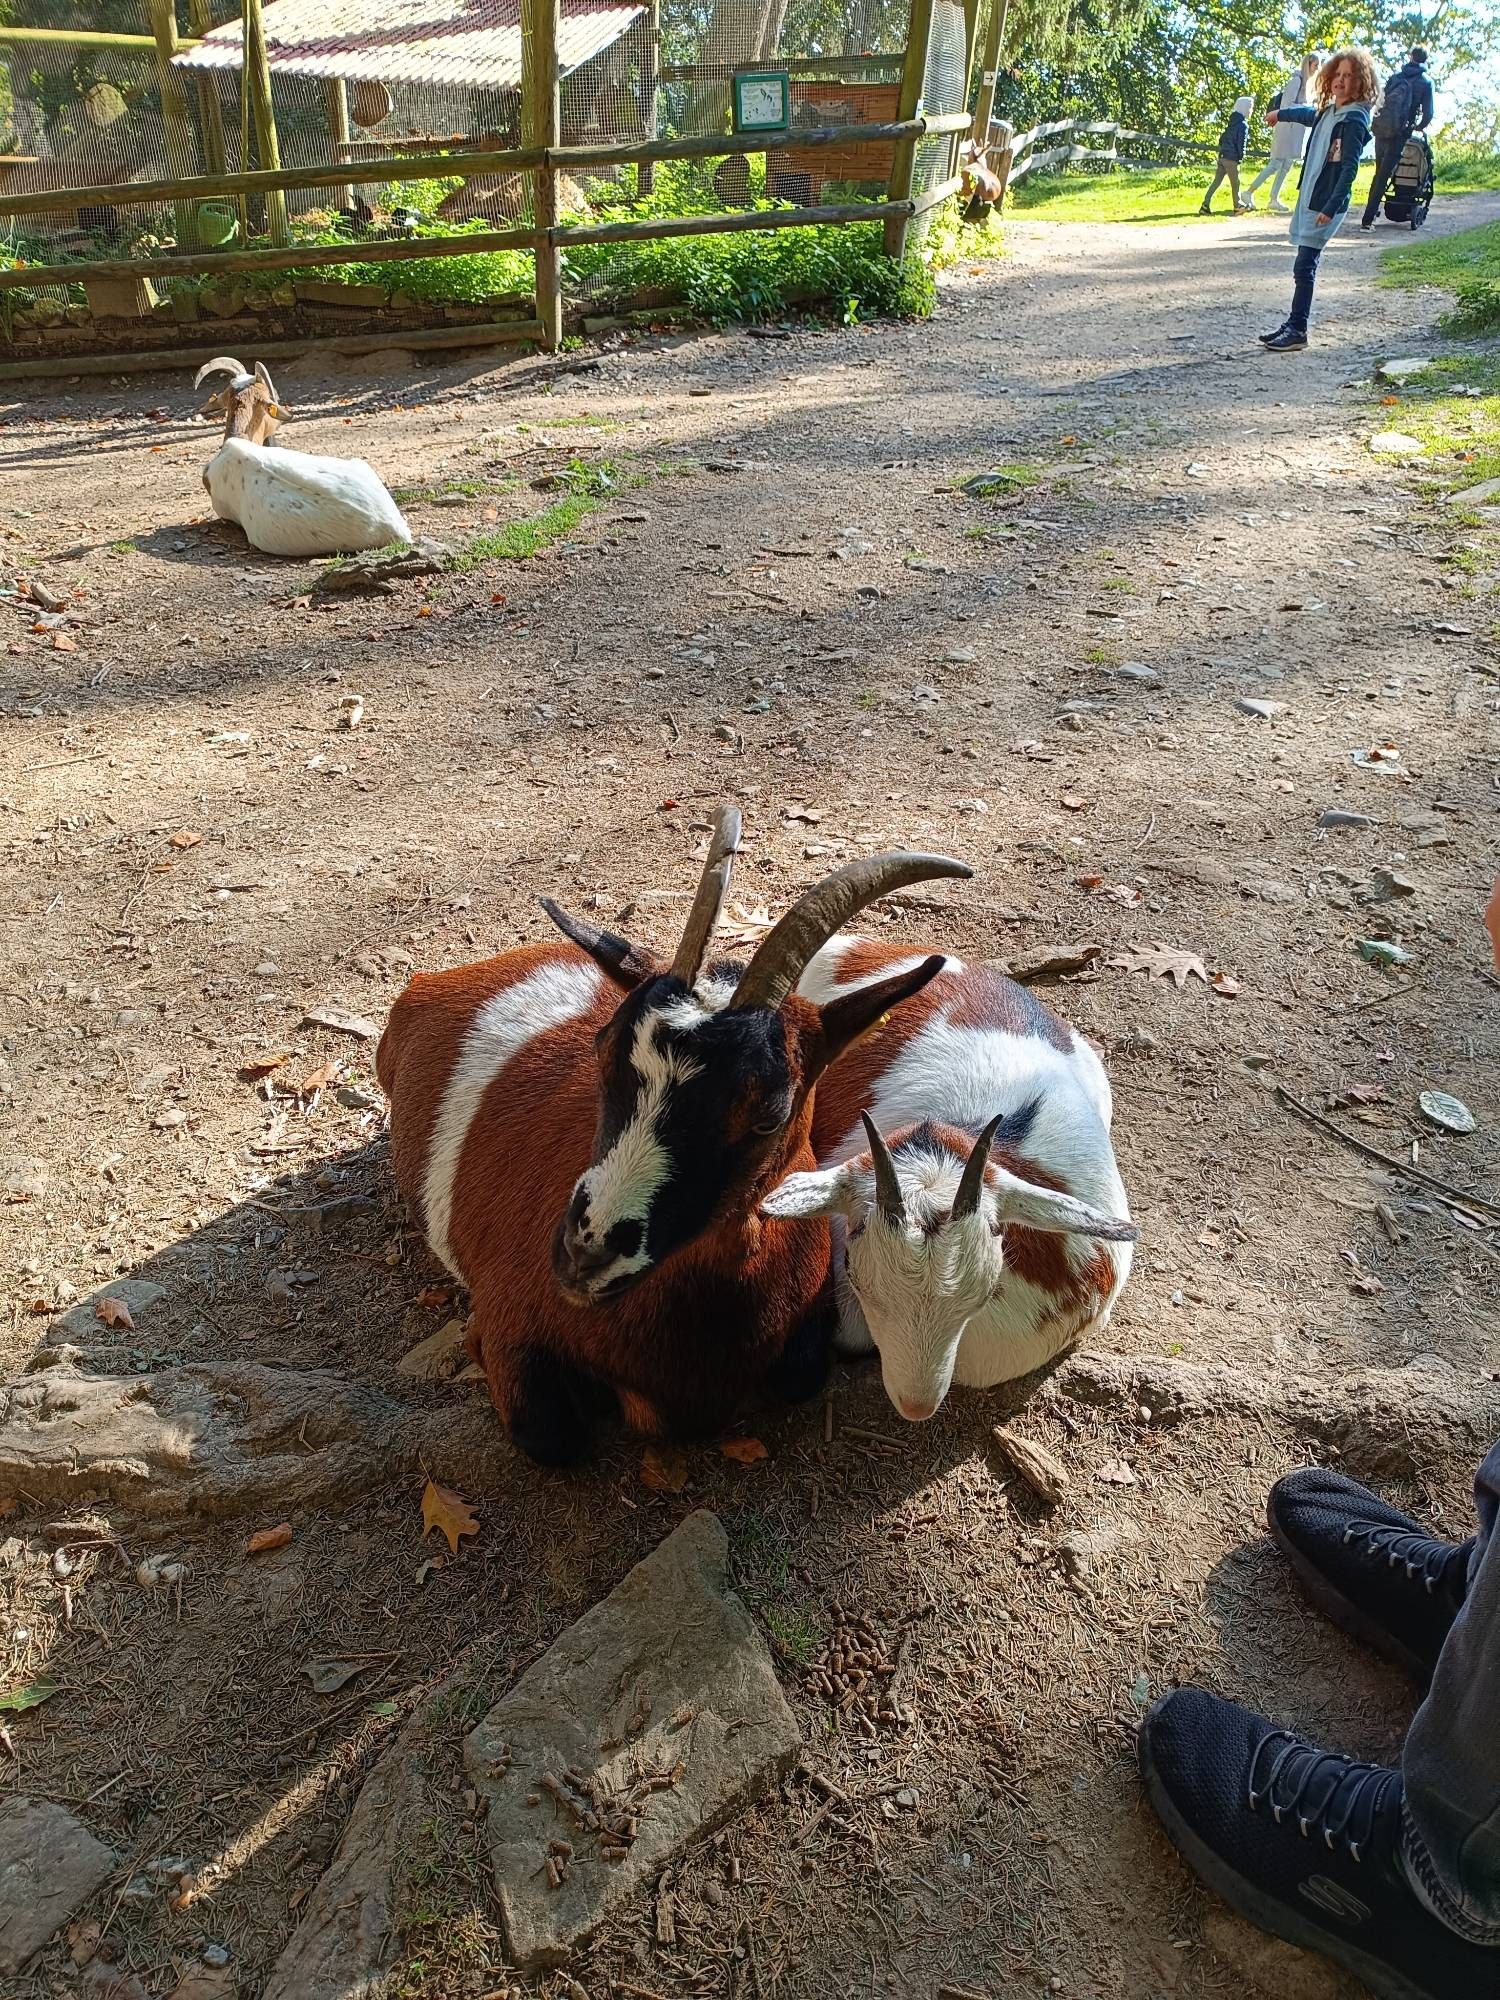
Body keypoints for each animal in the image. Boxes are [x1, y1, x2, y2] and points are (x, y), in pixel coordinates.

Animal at [378, 812, 976, 1472]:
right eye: (602, 1050)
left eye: (769, 1113)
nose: (585, 1256)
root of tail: (435, 979)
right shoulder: (504, 1325)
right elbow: (552, 1437)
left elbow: (802, 1375)